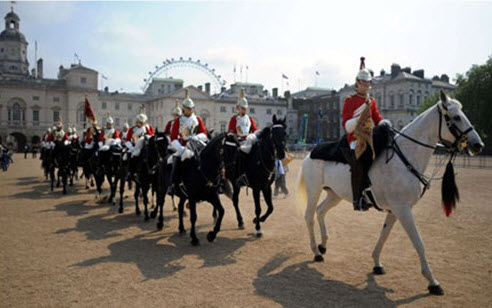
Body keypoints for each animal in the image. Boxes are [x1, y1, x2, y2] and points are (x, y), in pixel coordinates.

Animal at [298, 90, 482, 294]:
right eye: (456, 117)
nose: (478, 145)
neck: (406, 158)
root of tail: (310, 152)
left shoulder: (395, 210)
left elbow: (384, 235)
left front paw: (376, 263)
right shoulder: (403, 209)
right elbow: (419, 243)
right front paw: (432, 281)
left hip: (334, 195)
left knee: (320, 211)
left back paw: (323, 245)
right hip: (314, 190)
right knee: (309, 216)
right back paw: (316, 252)